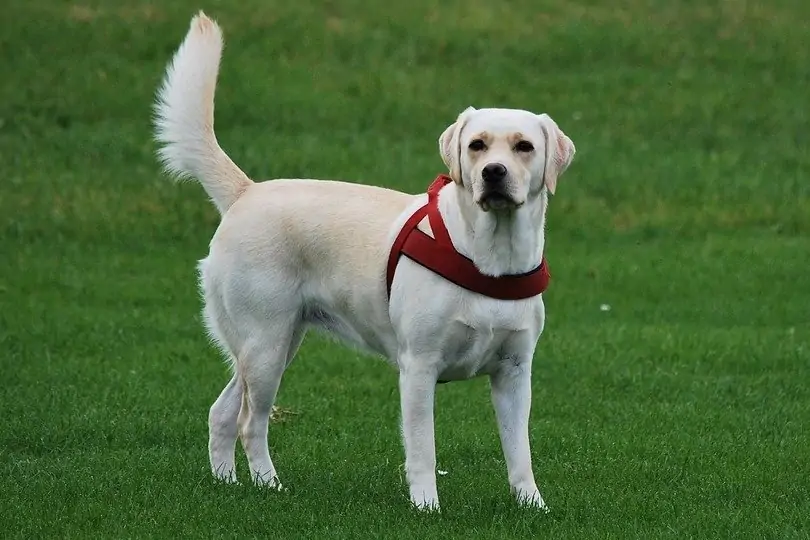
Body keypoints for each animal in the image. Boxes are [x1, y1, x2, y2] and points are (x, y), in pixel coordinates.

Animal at [153, 11, 576, 510]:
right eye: (477, 145)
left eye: (524, 147)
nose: (494, 173)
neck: (490, 257)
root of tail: (246, 191)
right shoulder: (419, 368)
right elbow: (423, 449)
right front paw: (426, 507)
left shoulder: (514, 373)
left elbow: (519, 452)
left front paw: (532, 506)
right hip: (266, 346)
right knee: (248, 422)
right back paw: (269, 486)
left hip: (271, 345)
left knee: (221, 412)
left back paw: (228, 484)